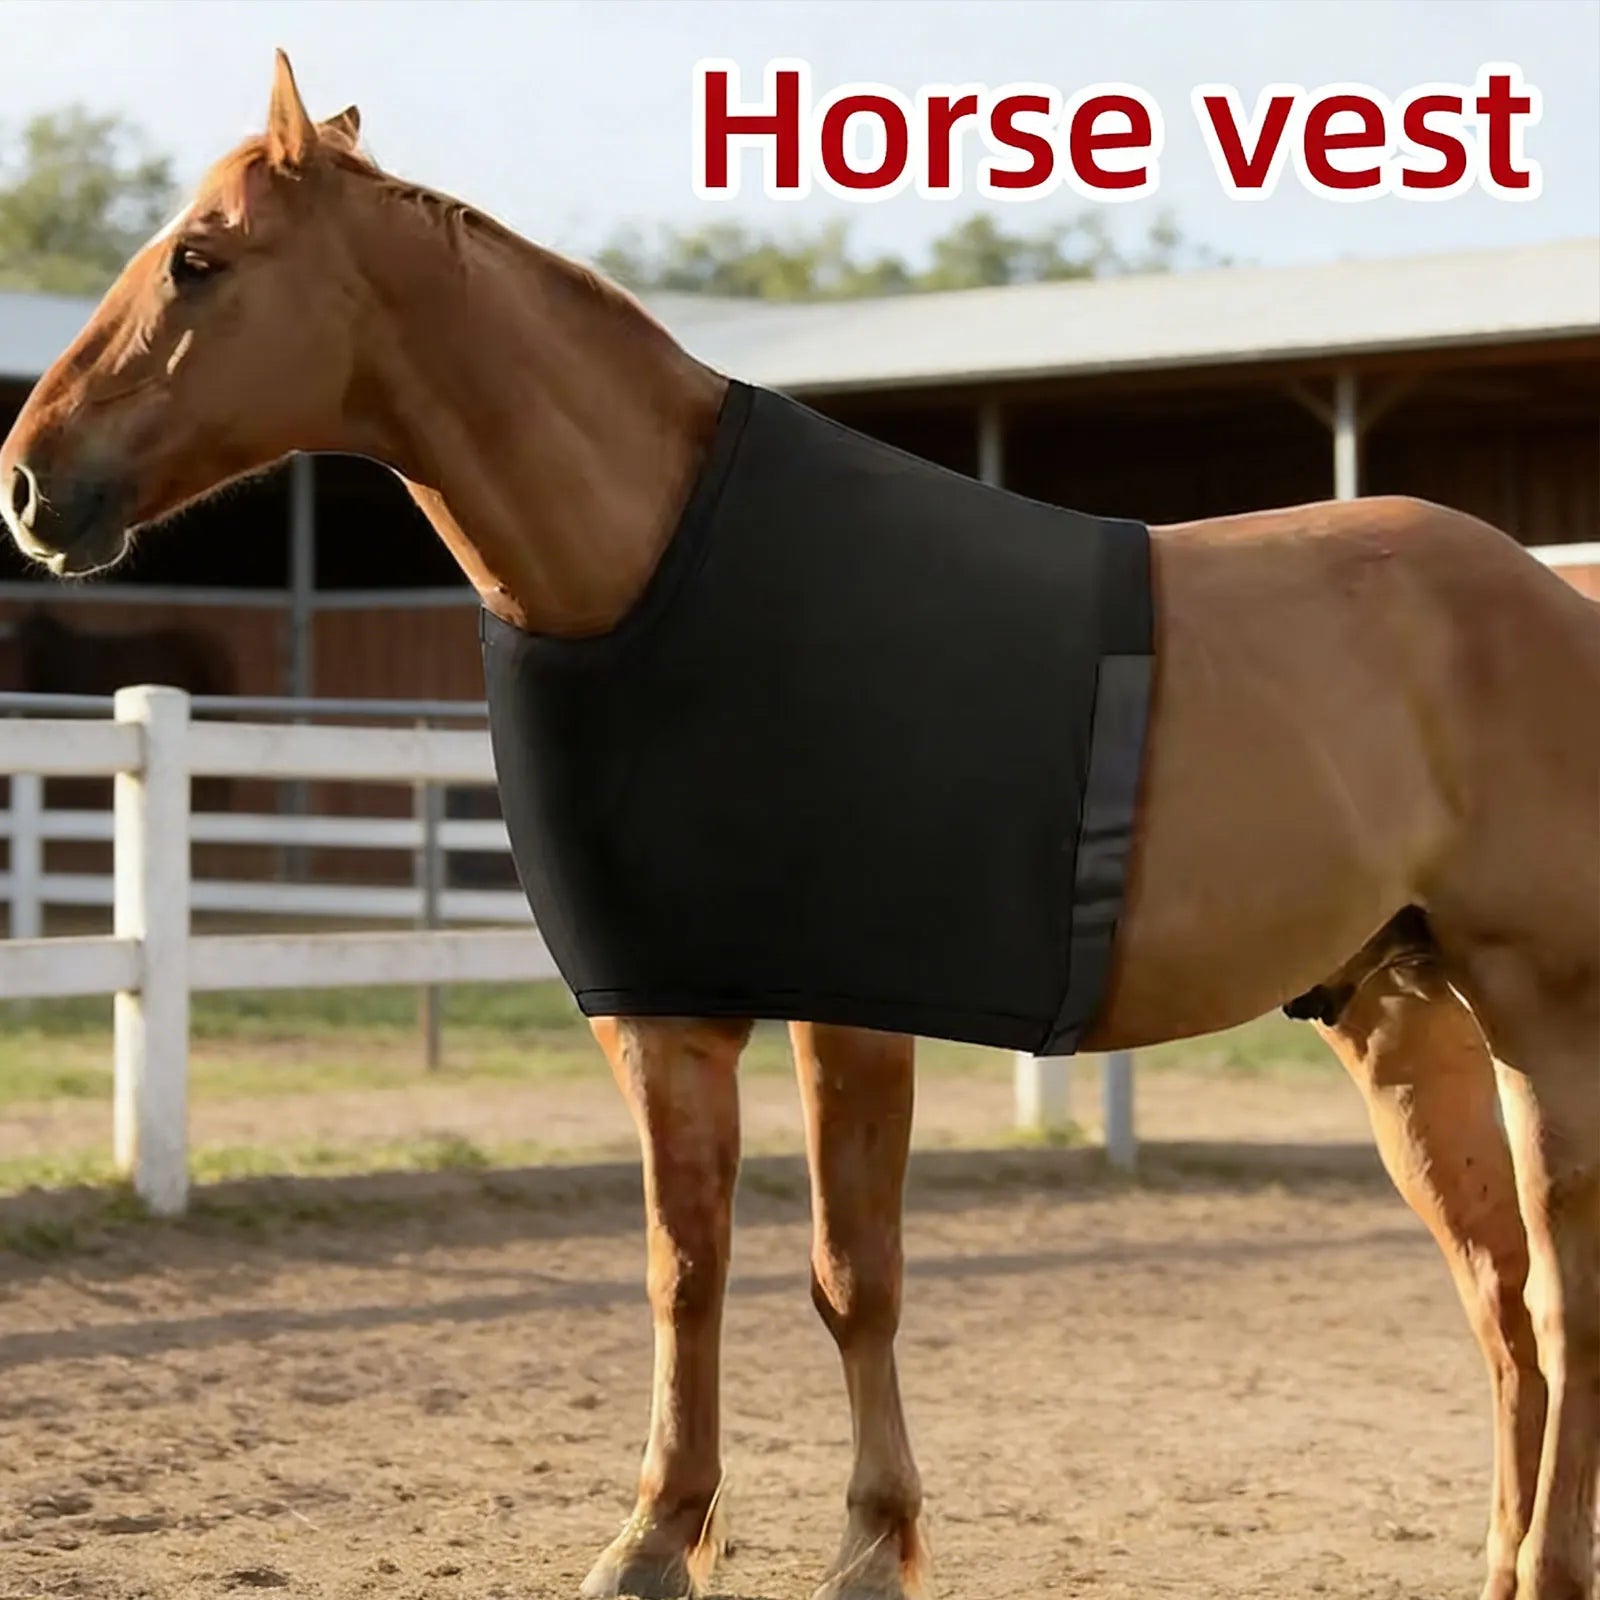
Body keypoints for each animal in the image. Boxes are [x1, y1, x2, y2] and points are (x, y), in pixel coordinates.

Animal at [1, 54, 1594, 1600]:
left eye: (198, 259)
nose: (29, 482)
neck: (661, 567)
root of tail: (1547, 595)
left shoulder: (852, 1010)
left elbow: (853, 1273)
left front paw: (872, 1544)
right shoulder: (663, 1012)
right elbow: (685, 1265)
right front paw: (654, 1538)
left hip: (1537, 1007)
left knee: (1563, 1282)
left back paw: (1553, 1563)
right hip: (1405, 1020)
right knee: (1500, 1302)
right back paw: (1499, 1562)